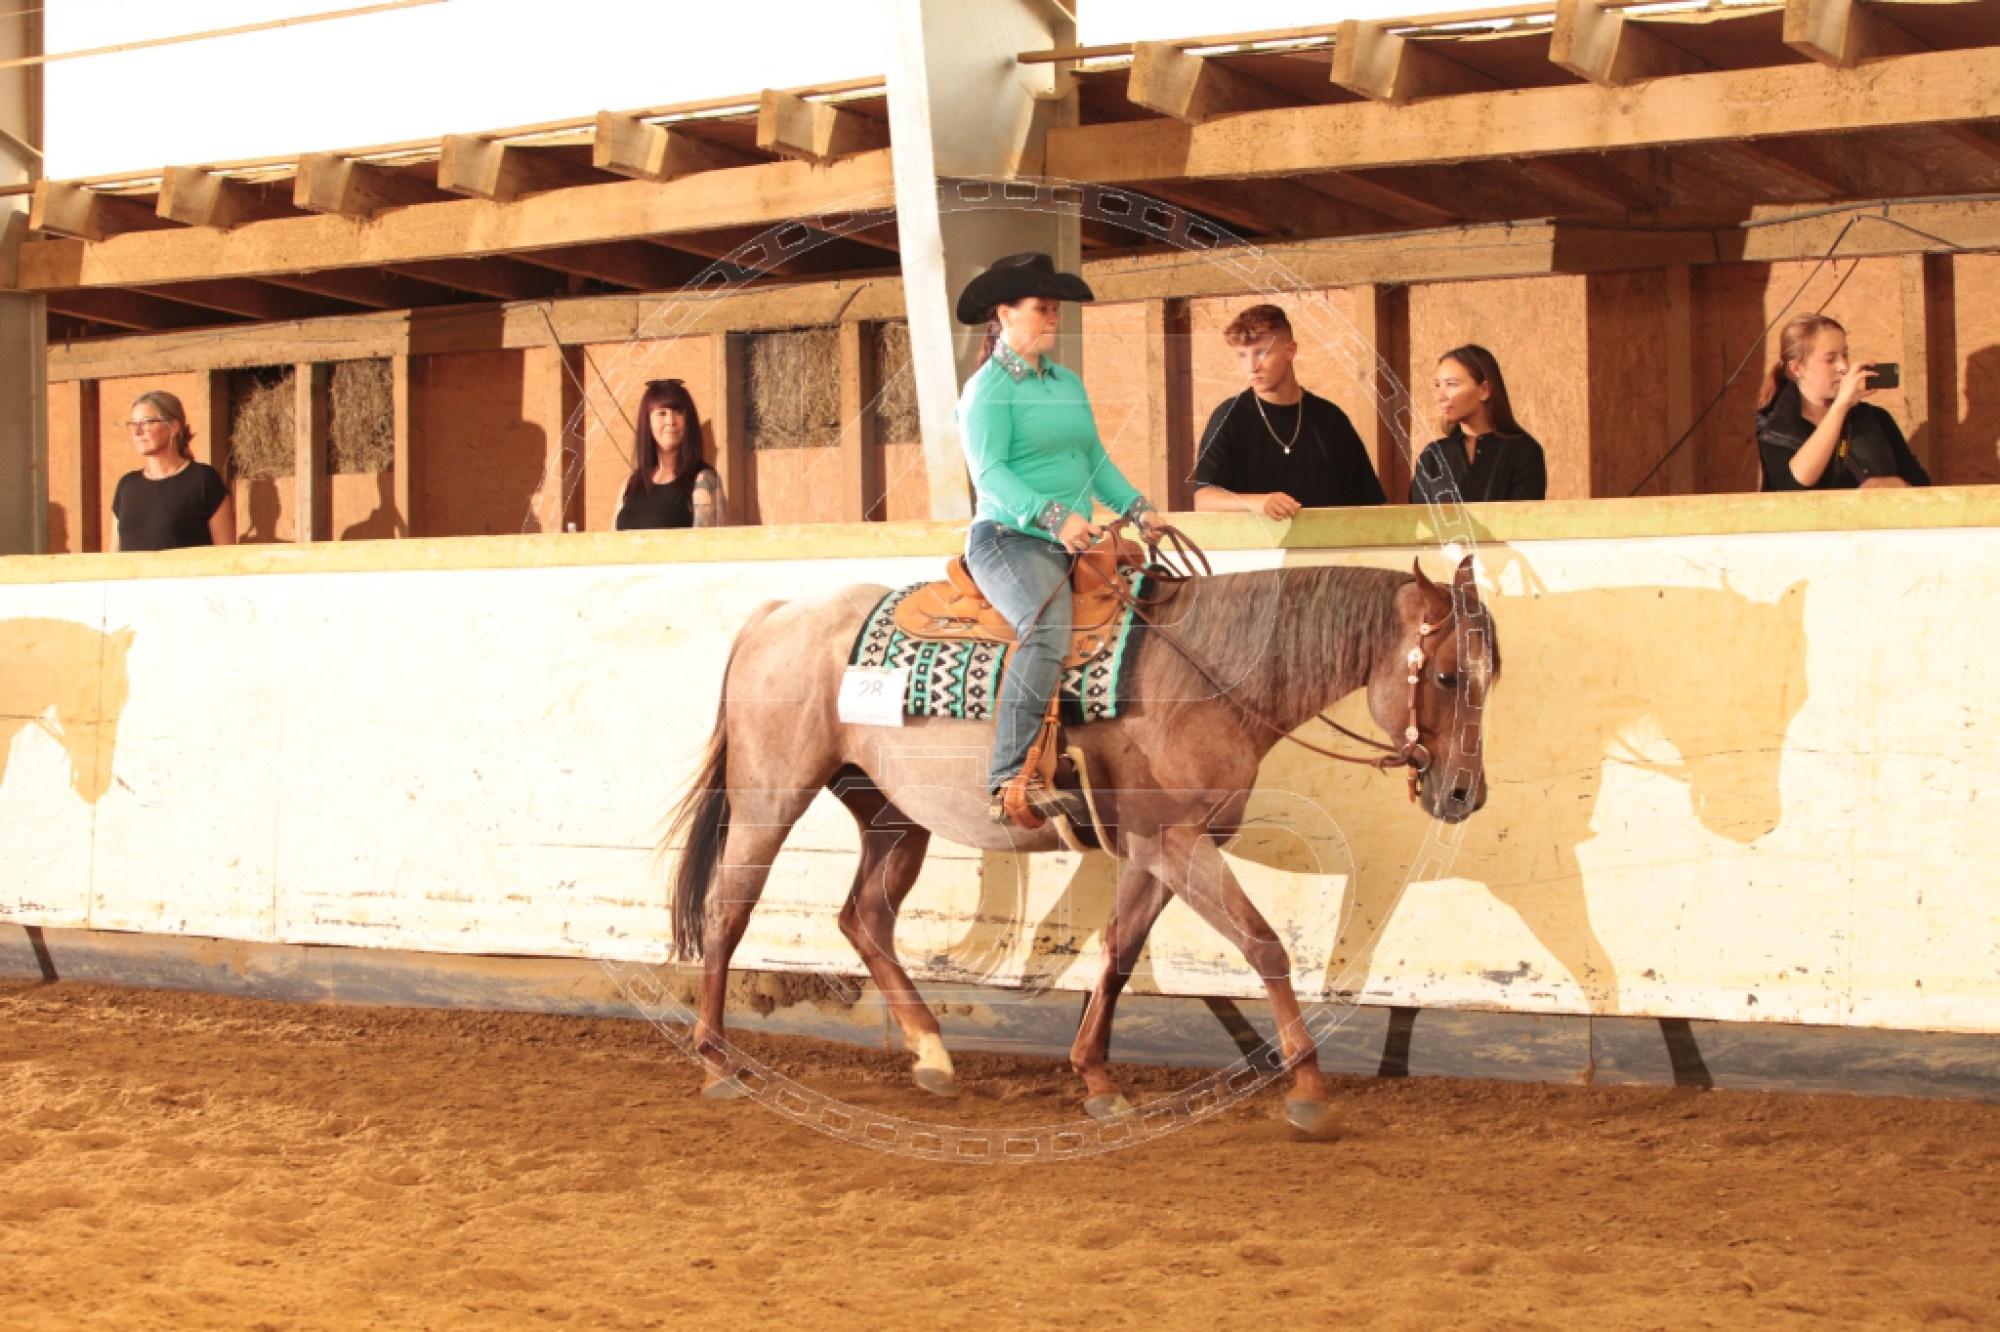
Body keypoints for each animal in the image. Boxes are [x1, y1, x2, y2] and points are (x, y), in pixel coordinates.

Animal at [663, 553, 1498, 1131]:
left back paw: (931, 1052)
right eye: (1448, 677)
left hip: (892, 816)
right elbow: (1264, 945)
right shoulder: (1179, 842)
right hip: (771, 797)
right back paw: (717, 1063)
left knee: (863, 917)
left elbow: (1120, 951)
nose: (1464, 794)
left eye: (1491, 677)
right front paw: (1311, 1089)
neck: (1206, 676)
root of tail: (777, 615)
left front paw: (1096, 1079)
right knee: (728, 910)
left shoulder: (1156, 850)